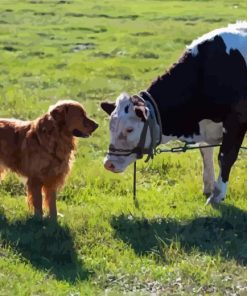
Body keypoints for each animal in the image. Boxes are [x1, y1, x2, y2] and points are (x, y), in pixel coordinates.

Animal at [100, 22, 247, 205]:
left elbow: (225, 156)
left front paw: (217, 195)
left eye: (129, 129)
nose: (108, 164)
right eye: (110, 127)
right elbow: (205, 153)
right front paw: (208, 187)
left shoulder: (237, 120)